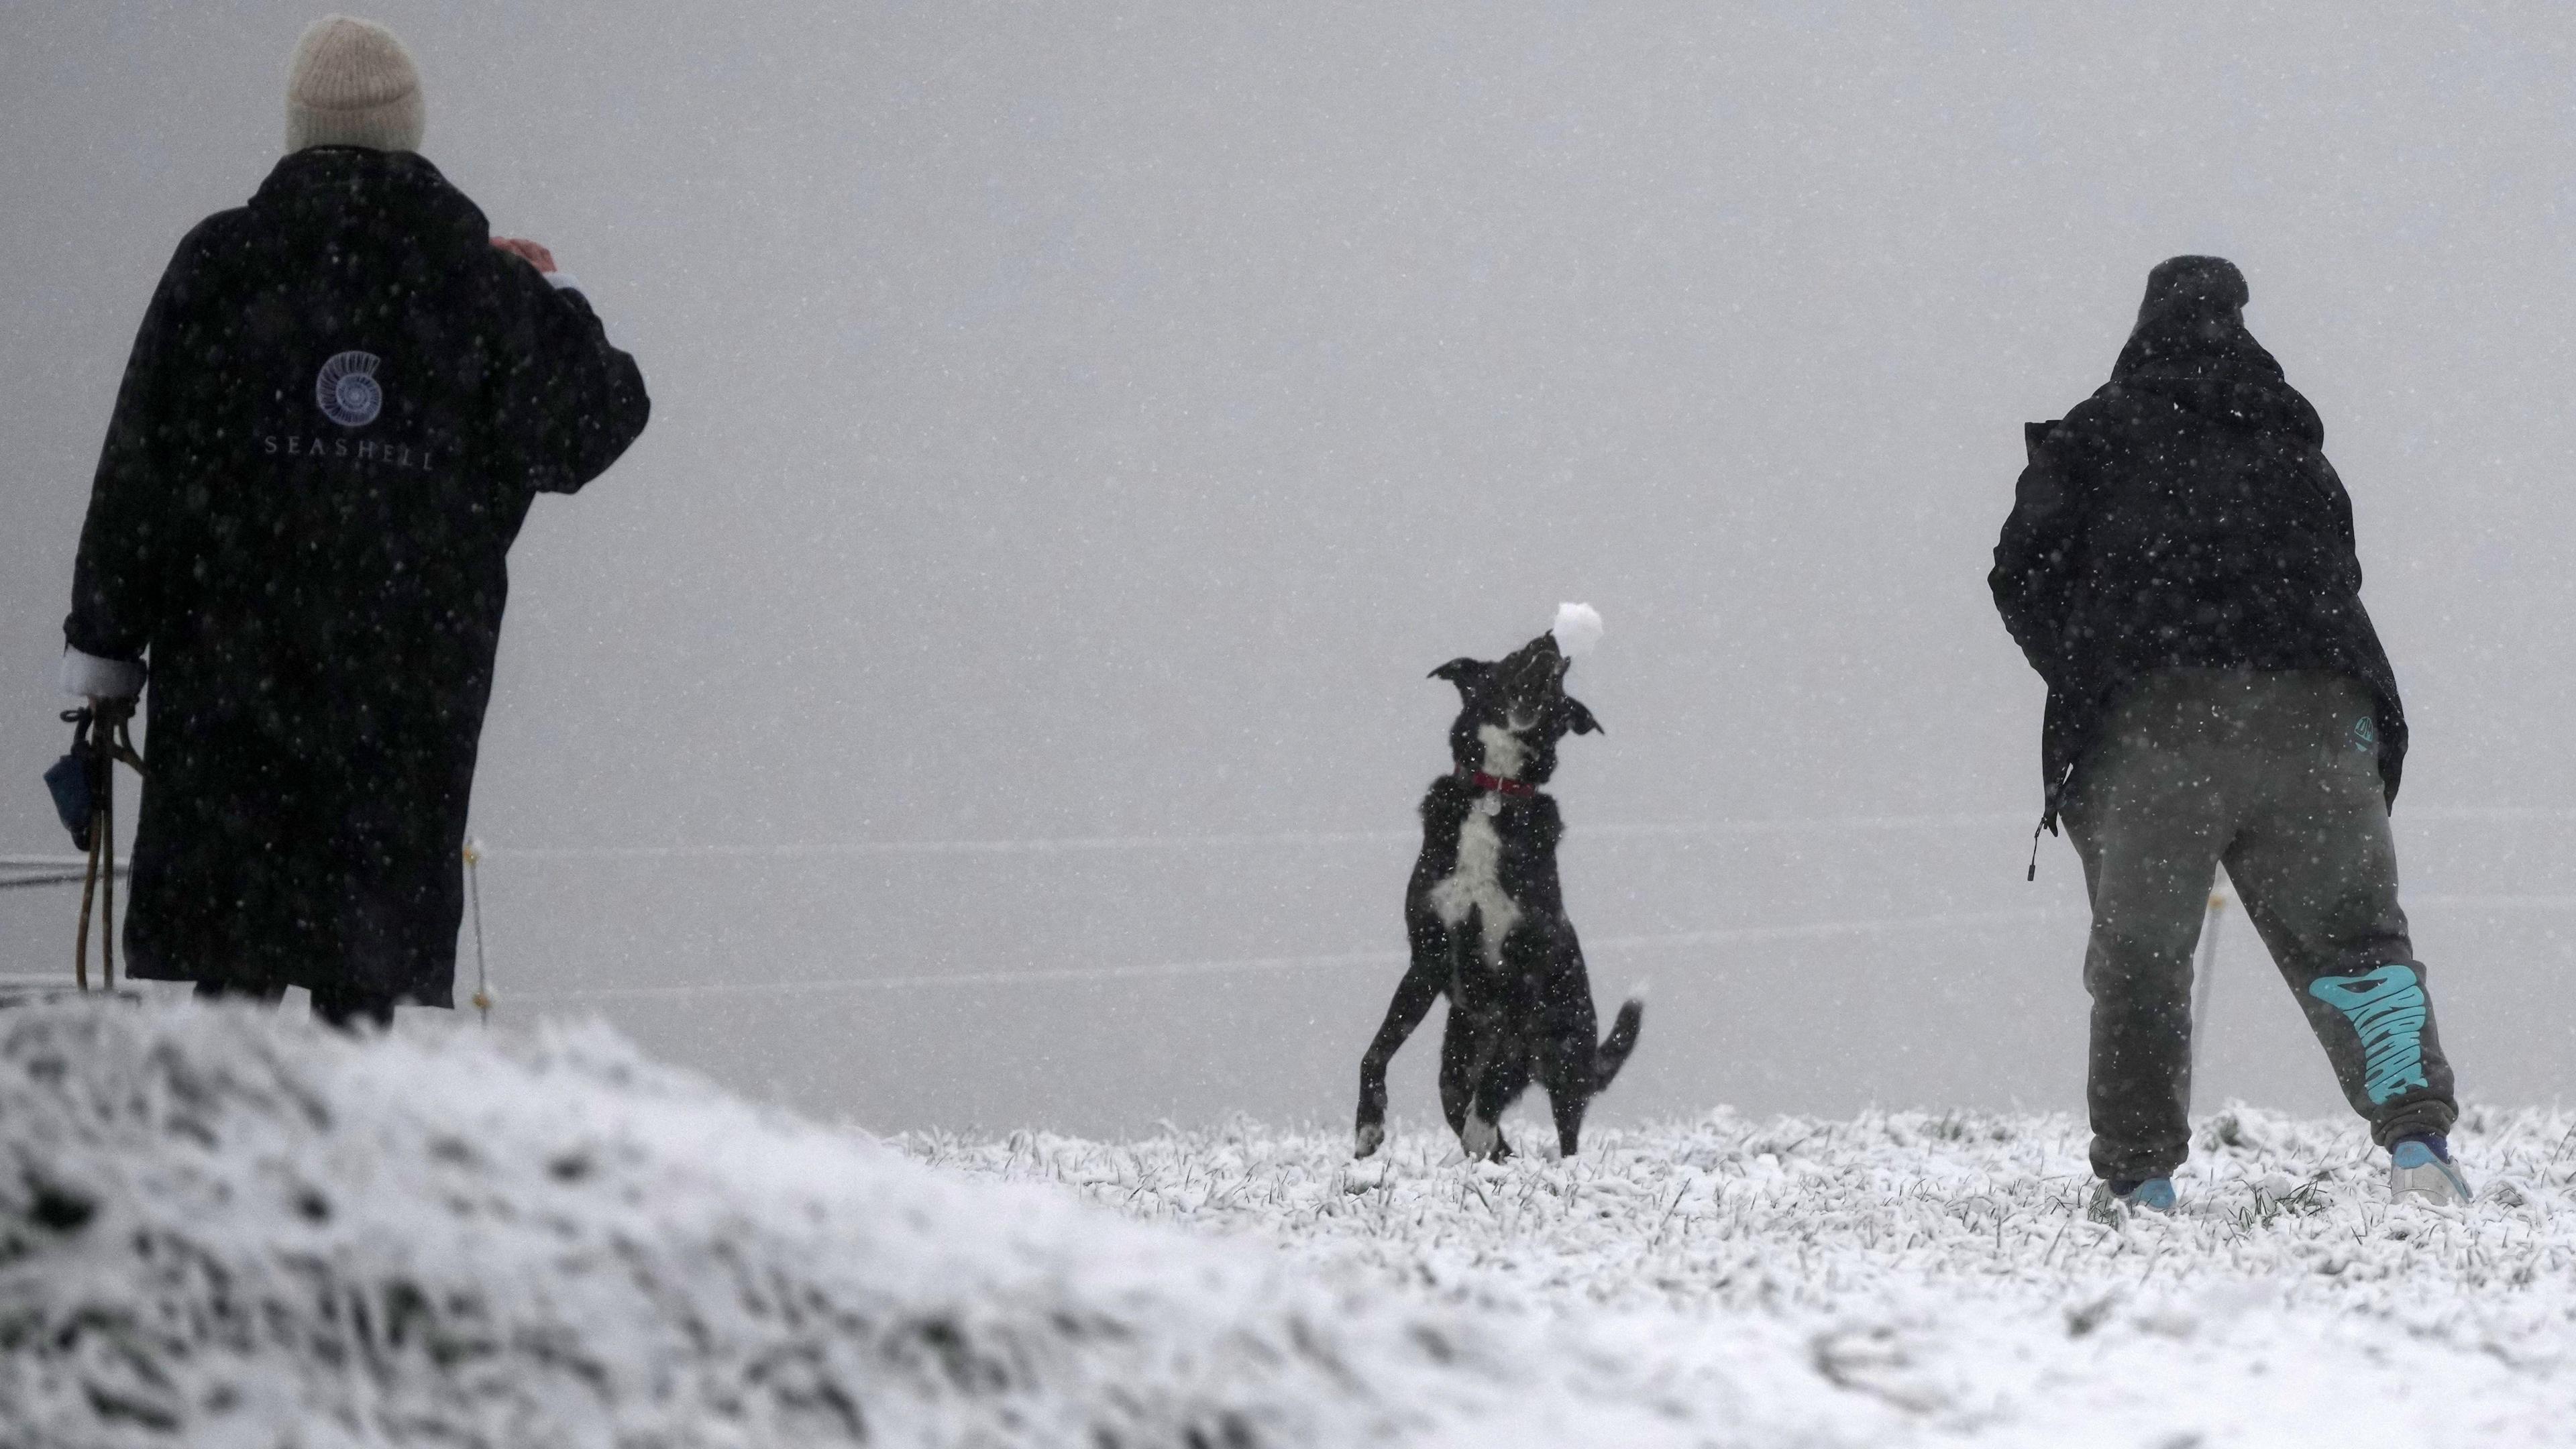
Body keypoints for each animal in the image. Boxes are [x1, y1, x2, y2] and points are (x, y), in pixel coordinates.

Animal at [1360, 603, 1638, 1155]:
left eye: (1560, 685)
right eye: (1512, 656)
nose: (1550, 639)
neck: (1498, 787)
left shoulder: (1525, 973)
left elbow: (1495, 1082)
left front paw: (1481, 1120)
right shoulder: (1426, 960)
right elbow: (1375, 1051)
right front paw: (1368, 1126)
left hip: (1566, 1067)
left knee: (1556, 1126)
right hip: (1454, 1068)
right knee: (1479, 1114)